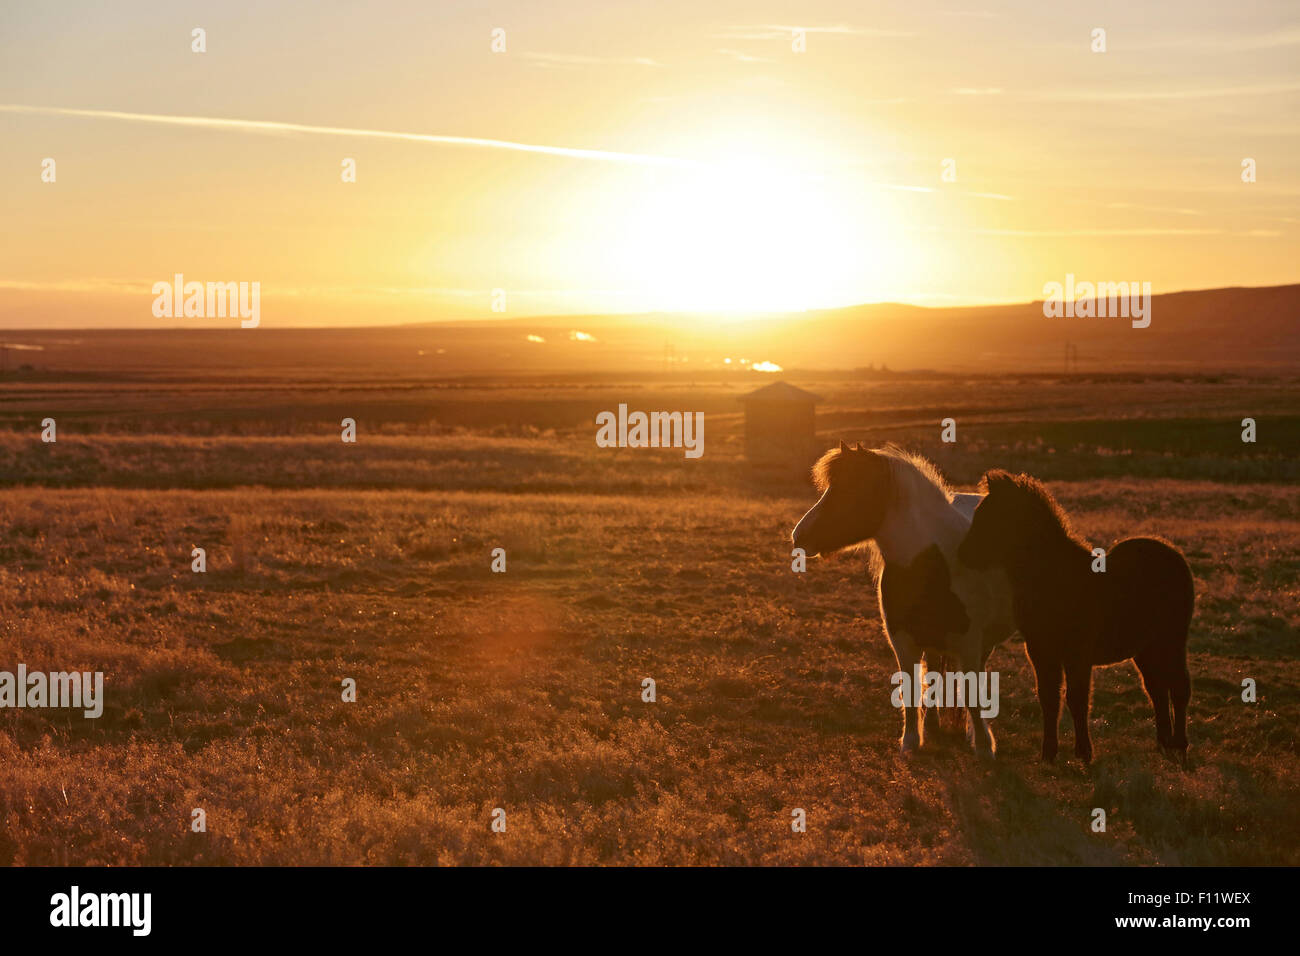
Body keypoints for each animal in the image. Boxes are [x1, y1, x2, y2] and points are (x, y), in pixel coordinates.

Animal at [785, 442, 1019, 754]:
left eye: (850, 489)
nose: (798, 537)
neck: (935, 563)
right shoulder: (902, 641)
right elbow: (911, 689)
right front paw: (910, 743)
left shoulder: (969, 642)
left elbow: (971, 694)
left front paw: (983, 746)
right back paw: (932, 726)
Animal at [961, 468, 1190, 764]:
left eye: (994, 517)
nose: (963, 555)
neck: (1056, 577)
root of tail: (1173, 552)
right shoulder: (1040, 651)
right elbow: (1049, 697)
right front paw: (1048, 753)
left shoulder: (1077, 652)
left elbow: (1077, 698)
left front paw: (1084, 753)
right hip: (1146, 647)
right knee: (1156, 688)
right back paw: (1163, 743)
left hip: (1173, 639)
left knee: (1179, 686)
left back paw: (1180, 745)